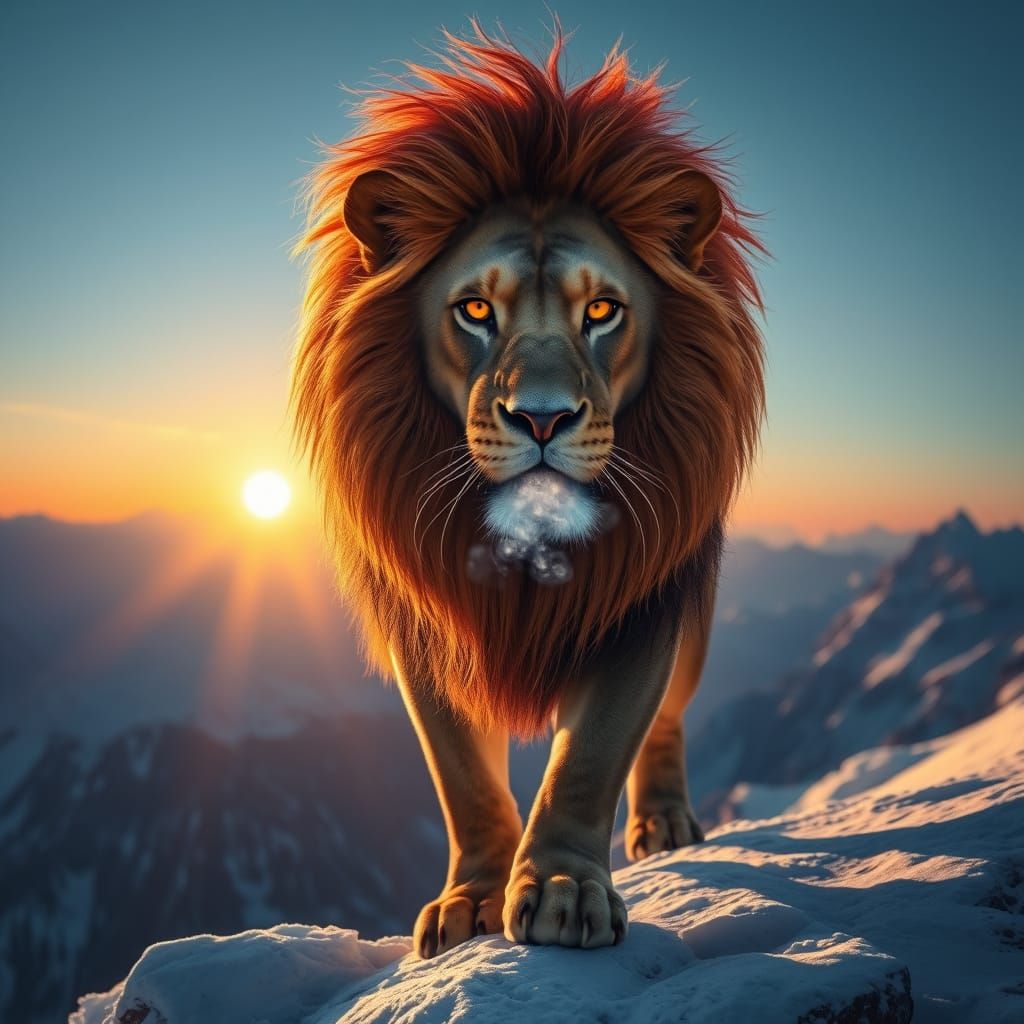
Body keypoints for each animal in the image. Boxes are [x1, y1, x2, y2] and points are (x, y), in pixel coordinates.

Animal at [291, 23, 765, 957]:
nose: (541, 418)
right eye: (476, 310)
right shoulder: (429, 622)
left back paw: (664, 824)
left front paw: (560, 891)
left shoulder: (637, 604)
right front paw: (470, 901)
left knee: (667, 720)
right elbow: (464, 778)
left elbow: (590, 756)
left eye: (602, 312)